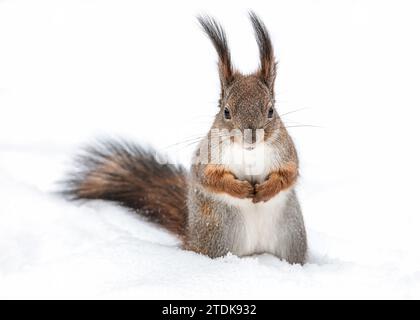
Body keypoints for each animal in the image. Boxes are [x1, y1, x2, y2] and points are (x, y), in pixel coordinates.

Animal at [65, 12, 308, 264]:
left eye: (271, 110)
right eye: (226, 112)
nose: (250, 135)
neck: (249, 153)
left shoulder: (287, 153)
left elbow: (289, 174)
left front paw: (266, 190)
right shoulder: (207, 157)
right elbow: (208, 177)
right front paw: (240, 189)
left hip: (290, 236)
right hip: (218, 233)